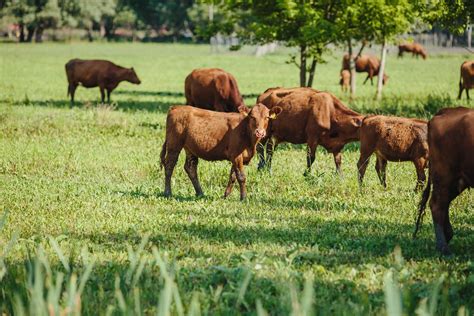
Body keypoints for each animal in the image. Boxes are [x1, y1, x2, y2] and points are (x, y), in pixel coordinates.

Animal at [412, 107, 472, 256]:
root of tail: (447, 111)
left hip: (457, 179)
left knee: (443, 204)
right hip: (445, 175)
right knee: (437, 204)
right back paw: (443, 247)